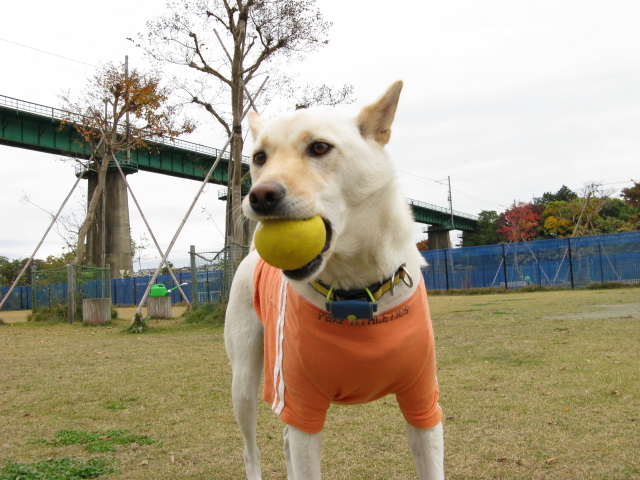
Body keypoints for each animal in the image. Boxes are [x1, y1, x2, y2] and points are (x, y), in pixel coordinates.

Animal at [224, 81, 444, 479]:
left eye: (319, 148)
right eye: (260, 156)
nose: (259, 196)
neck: (354, 291)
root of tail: (250, 254)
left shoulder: (423, 403)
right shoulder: (302, 404)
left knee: (284, 440)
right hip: (245, 382)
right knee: (252, 450)